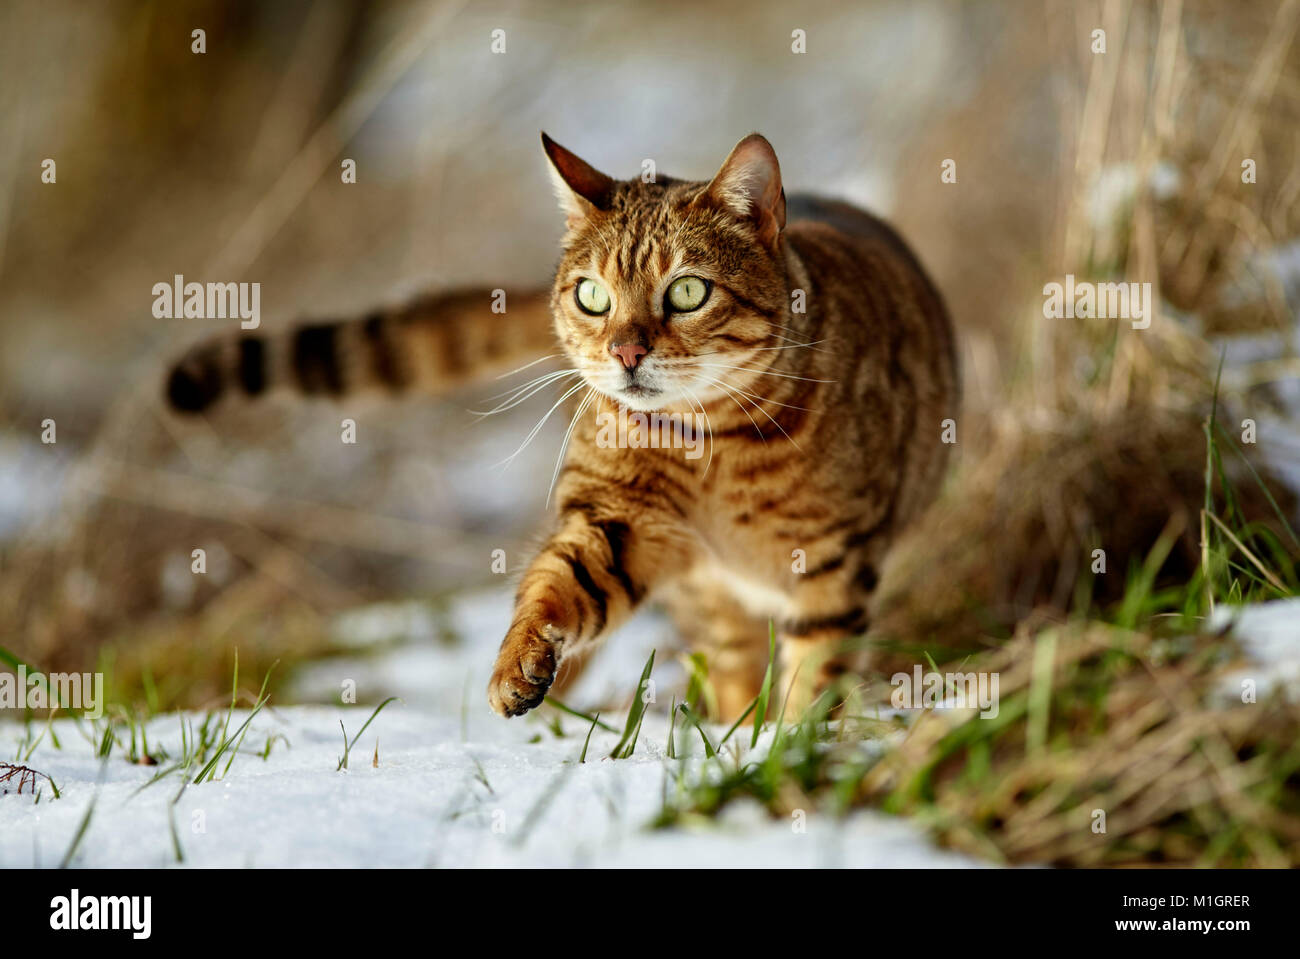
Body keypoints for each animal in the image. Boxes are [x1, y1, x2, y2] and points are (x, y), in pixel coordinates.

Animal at [165, 132, 956, 717]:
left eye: (688, 291)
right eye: (592, 295)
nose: (626, 352)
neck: (711, 445)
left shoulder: (832, 565)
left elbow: (815, 679)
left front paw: (789, 754)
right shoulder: (617, 518)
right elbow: (555, 580)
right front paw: (519, 664)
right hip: (704, 595)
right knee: (729, 661)